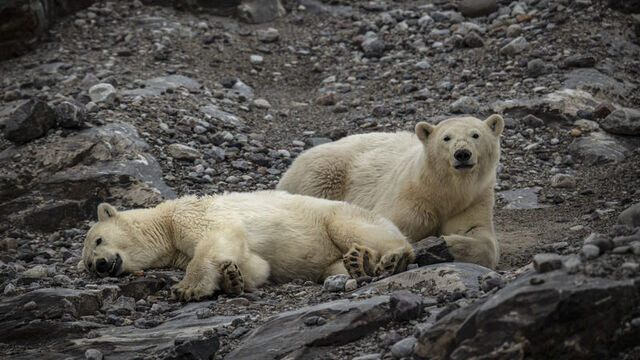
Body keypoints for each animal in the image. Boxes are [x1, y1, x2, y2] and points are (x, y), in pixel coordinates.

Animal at [81, 191, 416, 300]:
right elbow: (256, 264)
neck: (164, 224)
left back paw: (391, 258)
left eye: (99, 239)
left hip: (333, 216)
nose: (100, 264)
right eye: (87, 264)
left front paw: (187, 288)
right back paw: (359, 262)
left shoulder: (189, 217)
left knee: (351, 227)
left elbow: (218, 237)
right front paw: (232, 278)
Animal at [278, 114, 504, 268]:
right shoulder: (410, 197)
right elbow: (388, 225)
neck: (444, 191)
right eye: (446, 138)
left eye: (475, 135)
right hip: (323, 172)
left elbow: (479, 236)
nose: (462, 154)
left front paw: (445, 243)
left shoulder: (473, 200)